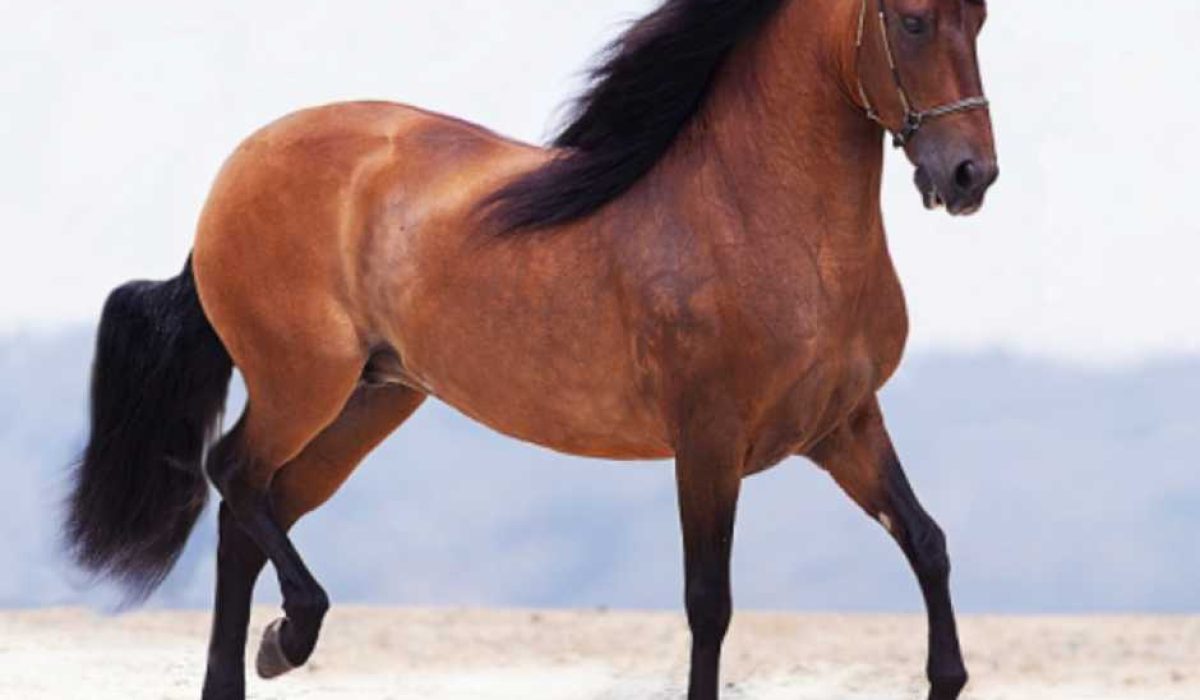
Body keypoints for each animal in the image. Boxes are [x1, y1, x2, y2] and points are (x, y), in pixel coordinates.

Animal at [66, 0, 997, 698]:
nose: (968, 177)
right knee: (231, 474)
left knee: (254, 508)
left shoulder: (843, 425)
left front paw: (947, 676)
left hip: (372, 401)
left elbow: (929, 542)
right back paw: (293, 634)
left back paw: (259, 656)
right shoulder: (708, 440)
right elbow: (709, 602)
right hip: (303, 384)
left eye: (979, 15)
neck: (760, 220)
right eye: (913, 20)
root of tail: (239, 167)